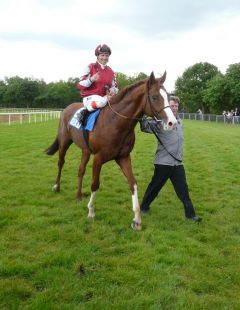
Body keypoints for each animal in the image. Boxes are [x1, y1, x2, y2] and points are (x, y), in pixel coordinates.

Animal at [45, 71, 177, 229]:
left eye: (168, 96)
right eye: (155, 97)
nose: (172, 123)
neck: (116, 122)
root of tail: (66, 109)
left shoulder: (123, 157)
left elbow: (133, 183)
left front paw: (137, 219)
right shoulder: (98, 158)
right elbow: (95, 184)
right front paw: (91, 211)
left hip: (85, 150)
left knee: (80, 170)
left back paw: (78, 195)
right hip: (64, 142)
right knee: (61, 163)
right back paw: (56, 186)